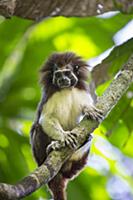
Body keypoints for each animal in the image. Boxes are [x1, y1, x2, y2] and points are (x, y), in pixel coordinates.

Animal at [30, 52, 103, 200]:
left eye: (67, 73)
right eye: (58, 75)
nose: (63, 79)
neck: (67, 89)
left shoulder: (80, 91)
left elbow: (86, 107)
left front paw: (89, 110)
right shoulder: (51, 95)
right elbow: (46, 119)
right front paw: (64, 136)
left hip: (75, 165)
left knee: (88, 139)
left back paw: (84, 141)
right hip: (40, 158)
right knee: (38, 128)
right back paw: (52, 148)